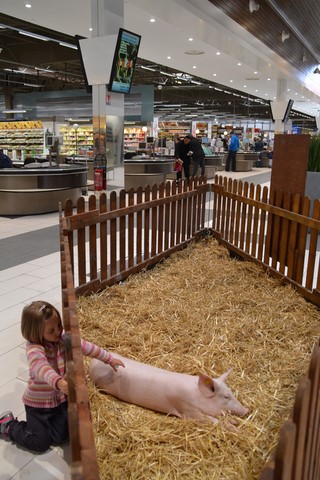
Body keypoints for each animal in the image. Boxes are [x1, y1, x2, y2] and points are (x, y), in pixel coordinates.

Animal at [89, 352, 249, 424]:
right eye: (226, 396)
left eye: (232, 393)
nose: (247, 410)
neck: (198, 396)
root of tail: (92, 362)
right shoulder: (189, 410)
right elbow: (214, 421)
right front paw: (236, 428)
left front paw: (234, 422)